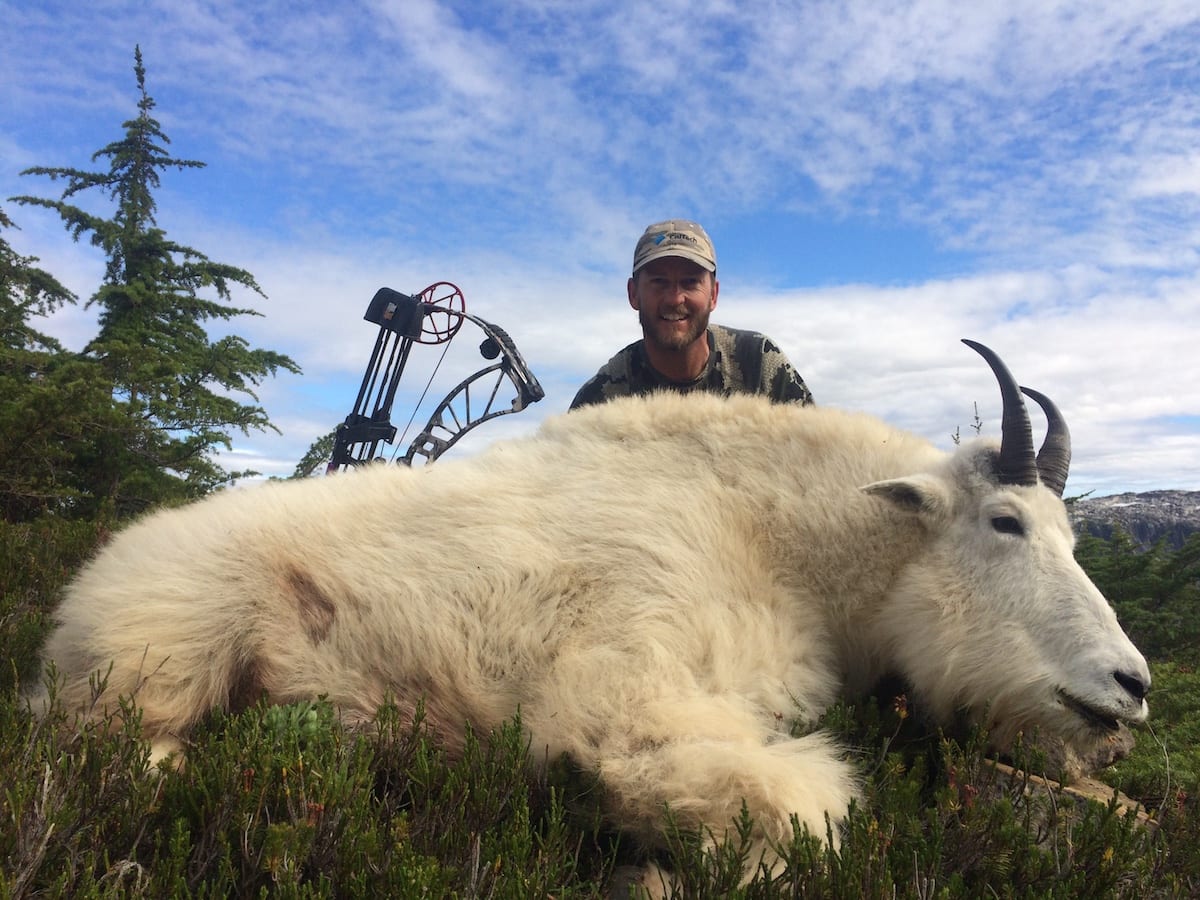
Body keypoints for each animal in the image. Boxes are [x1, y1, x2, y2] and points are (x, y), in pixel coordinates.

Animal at [32, 340, 1147, 883]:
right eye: (1006, 521)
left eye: (1074, 535)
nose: (1128, 687)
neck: (774, 537)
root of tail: (79, 593)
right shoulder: (619, 698)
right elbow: (804, 808)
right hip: (161, 659)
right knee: (119, 750)